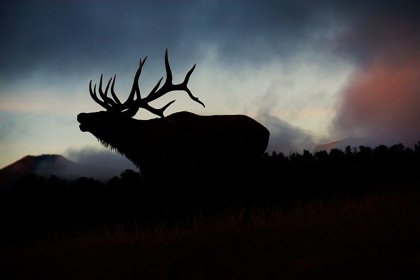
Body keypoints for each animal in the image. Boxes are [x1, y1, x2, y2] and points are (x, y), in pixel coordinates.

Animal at [76, 50, 270, 224]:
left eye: (105, 116)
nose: (80, 115)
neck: (140, 148)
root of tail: (266, 132)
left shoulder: (179, 175)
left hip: (248, 163)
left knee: (256, 190)